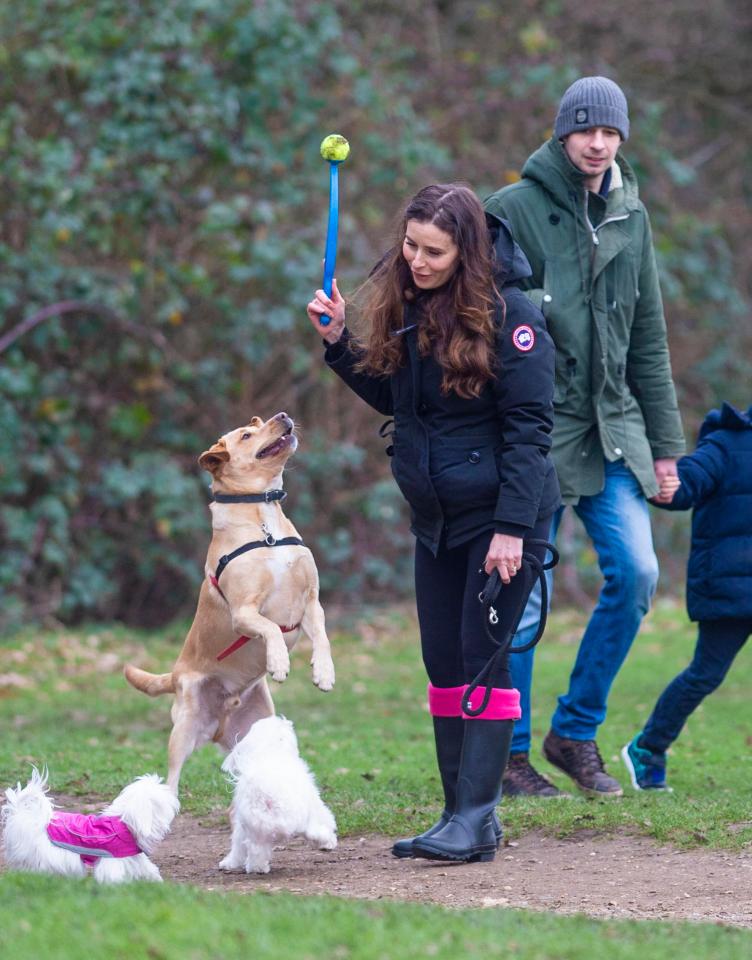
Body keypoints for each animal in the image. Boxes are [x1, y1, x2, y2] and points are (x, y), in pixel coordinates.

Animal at [124, 412, 334, 796]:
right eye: (247, 435)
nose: (283, 415)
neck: (263, 518)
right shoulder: (244, 612)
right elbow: (271, 627)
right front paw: (279, 662)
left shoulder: (311, 602)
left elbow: (322, 638)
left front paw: (324, 673)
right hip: (185, 725)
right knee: (172, 777)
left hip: (263, 726)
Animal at [217, 712, 334, 876]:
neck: (270, 750)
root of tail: (264, 794)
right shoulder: (314, 803)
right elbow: (325, 820)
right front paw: (328, 842)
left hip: (253, 825)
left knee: (253, 847)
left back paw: (257, 867)